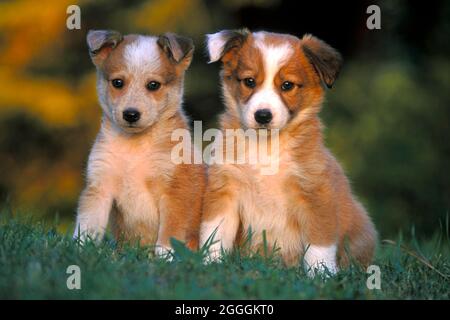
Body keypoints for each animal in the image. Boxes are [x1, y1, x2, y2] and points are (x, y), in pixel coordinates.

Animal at [74, 28, 206, 256]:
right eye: (118, 82)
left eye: (153, 85)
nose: (131, 114)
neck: (135, 148)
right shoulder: (99, 185)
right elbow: (87, 225)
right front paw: (77, 251)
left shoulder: (175, 191)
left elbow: (169, 235)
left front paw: (164, 259)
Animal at [200, 29, 376, 276]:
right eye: (249, 81)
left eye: (287, 85)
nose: (263, 116)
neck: (266, 147)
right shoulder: (225, 189)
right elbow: (215, 233)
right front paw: (210, 266)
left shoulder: (315, 193)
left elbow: (319, 244)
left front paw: (320, 275)